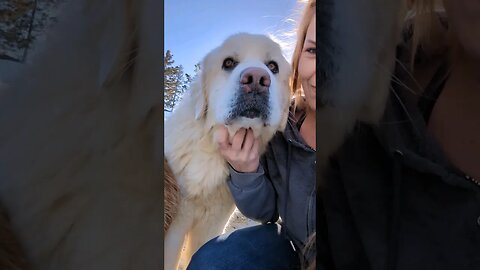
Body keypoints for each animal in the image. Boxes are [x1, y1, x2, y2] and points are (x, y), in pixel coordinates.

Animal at [165, 32, 290, 268]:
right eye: (228, 63)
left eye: (272, 66)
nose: (257, 79)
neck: (210, 150)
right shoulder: (175, 221)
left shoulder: (213, 222)